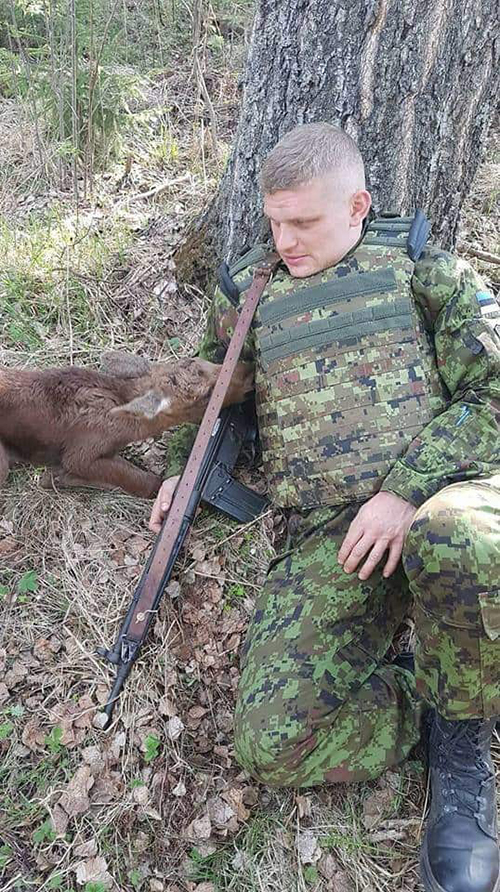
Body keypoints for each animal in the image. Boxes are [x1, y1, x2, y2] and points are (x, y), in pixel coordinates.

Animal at [0, 352, 253, 498]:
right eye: (207, 395)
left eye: (204, 360)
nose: (247, 370)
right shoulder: (81, 452)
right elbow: (149, 482)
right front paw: (57, 477)